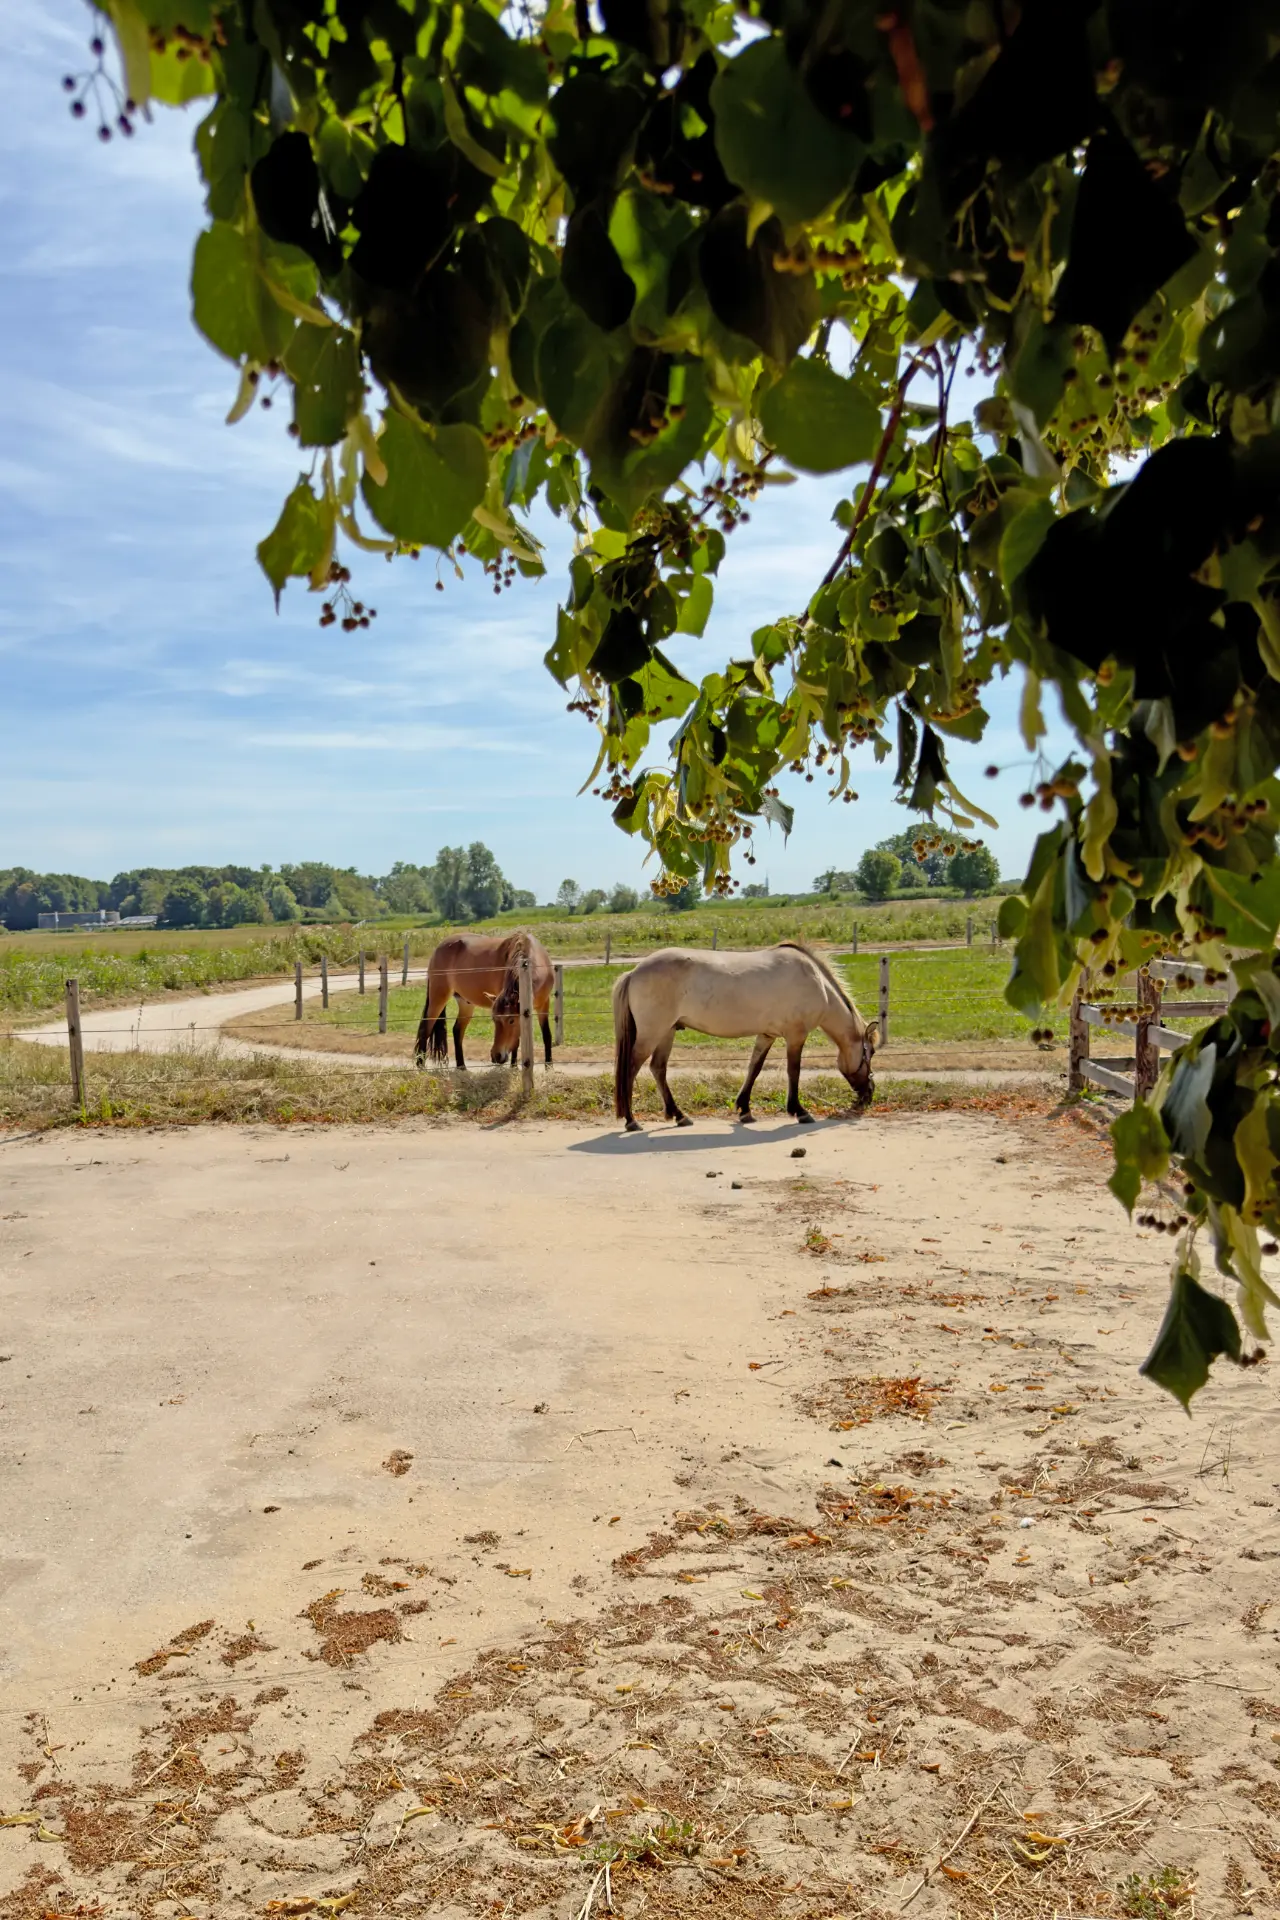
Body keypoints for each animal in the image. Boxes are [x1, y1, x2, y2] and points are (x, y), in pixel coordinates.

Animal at [413, 930, 554, 1070]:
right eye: (494, 1020)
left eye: (511, 1020)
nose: (496, 1056)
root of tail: (439, 947)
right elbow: (517, 1042)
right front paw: (514, 1067)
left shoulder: (544, 1005)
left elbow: (546, 1035)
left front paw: (549, 1067)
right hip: (438, 997)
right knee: (425, 1028)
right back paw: (421, 1066)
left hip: (465, 1003)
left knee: (457, 1030)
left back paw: (461, 1066)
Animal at [612, 942, 877, 1132]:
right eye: (871, 1052)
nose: (868, 1095)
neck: (816, 982)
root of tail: (634, 972)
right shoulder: (795, 1036)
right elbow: (793, 1072)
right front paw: (799, 1111)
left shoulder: (767, 1035)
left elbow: (754, 1068)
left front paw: (744, 1110)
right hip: (652, 1033)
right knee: (631, 1069)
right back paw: (631, 1120)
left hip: (667, 1032)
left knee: (658, 1068)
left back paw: (679, 1115)